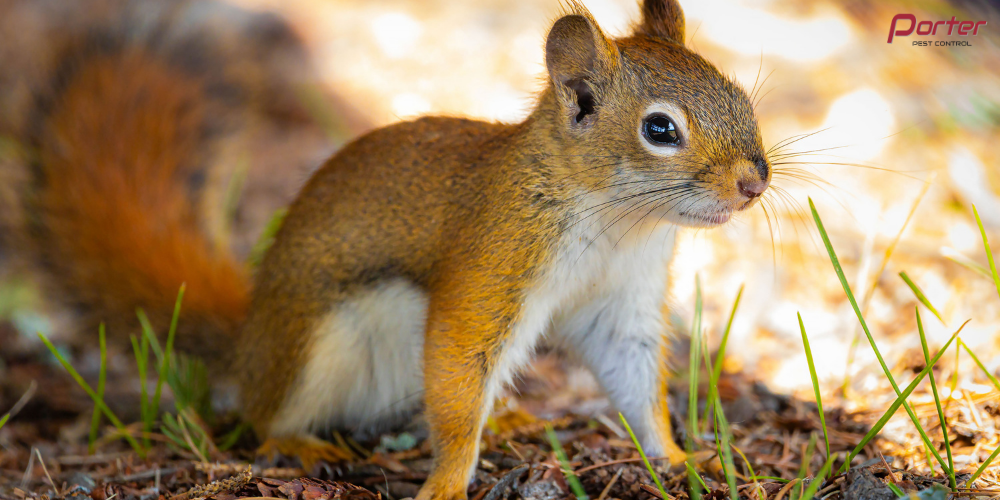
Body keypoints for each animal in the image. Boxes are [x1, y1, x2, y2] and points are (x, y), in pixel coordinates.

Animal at [12, 0, 770, 499]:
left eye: (738, 93)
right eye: (660, 129)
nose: (754, 182)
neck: (618, 221)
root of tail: (250, 339)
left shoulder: (623, 299)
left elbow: (638, 384)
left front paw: (677, 457)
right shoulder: (494, 260)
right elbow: (459, 373)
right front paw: (448, 482)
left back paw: (508, 418)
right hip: (317, 345)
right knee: (262, 415)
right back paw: (299, 442)